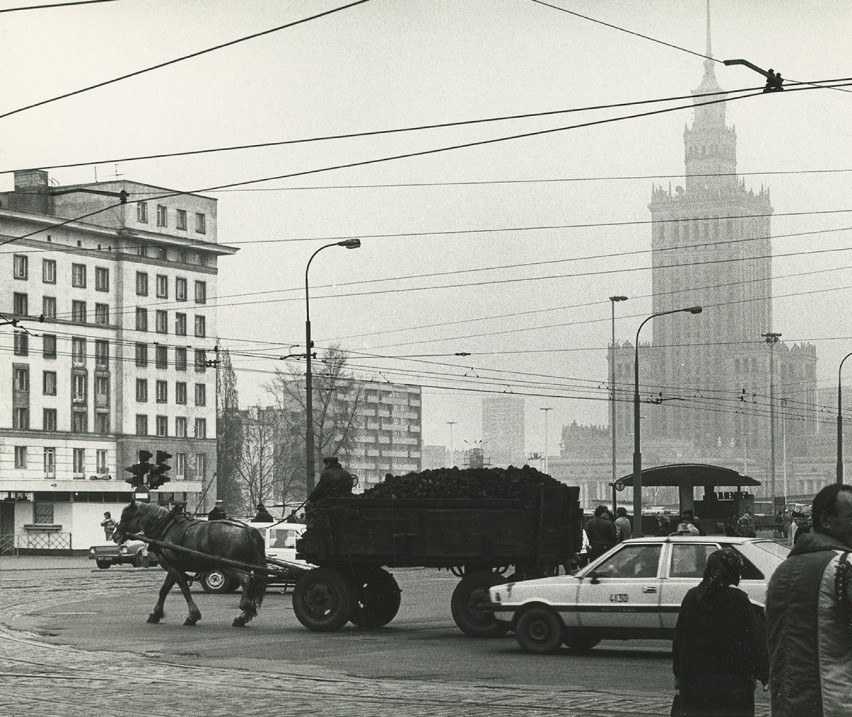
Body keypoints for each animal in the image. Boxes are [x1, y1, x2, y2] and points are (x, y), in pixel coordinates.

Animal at [113, 500, 266, 624]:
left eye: (125, 516)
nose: (115, 536)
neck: (165, 527)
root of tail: (248, 529)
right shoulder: (173, 567)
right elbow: (164, 590)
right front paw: (155, 614)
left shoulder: (172, 566)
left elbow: (184, 588)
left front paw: (192, 615)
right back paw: (246, 613)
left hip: (230, 566)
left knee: (246, 580)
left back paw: (244, 612)